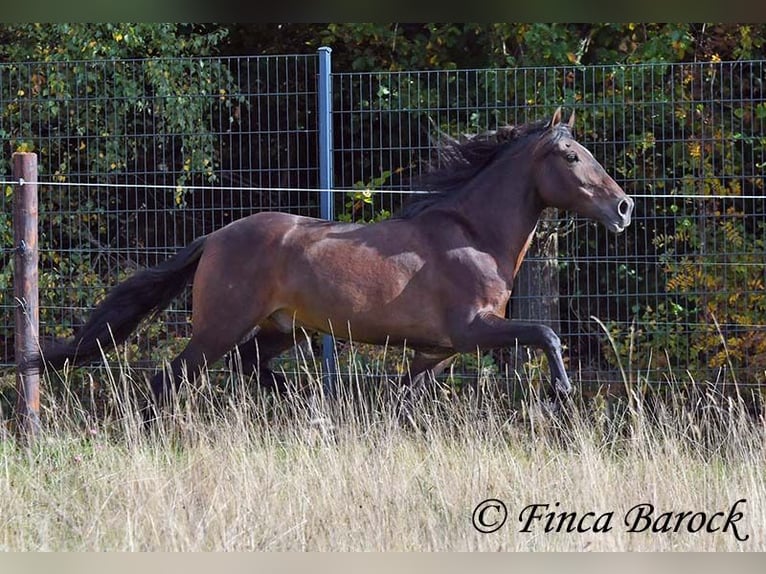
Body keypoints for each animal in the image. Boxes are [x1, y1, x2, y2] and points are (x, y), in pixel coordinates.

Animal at [30, 107, 633, 412]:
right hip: (218, 328)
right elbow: (546, 334)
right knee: (170, 378)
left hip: (283, 327)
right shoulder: (473, 330)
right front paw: (561, 390)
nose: (624, 208)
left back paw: (305, 403)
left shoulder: (437, 351)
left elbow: (402, 396)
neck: (475, 236)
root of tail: (216, 237)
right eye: (570, 156)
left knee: (252, 363)